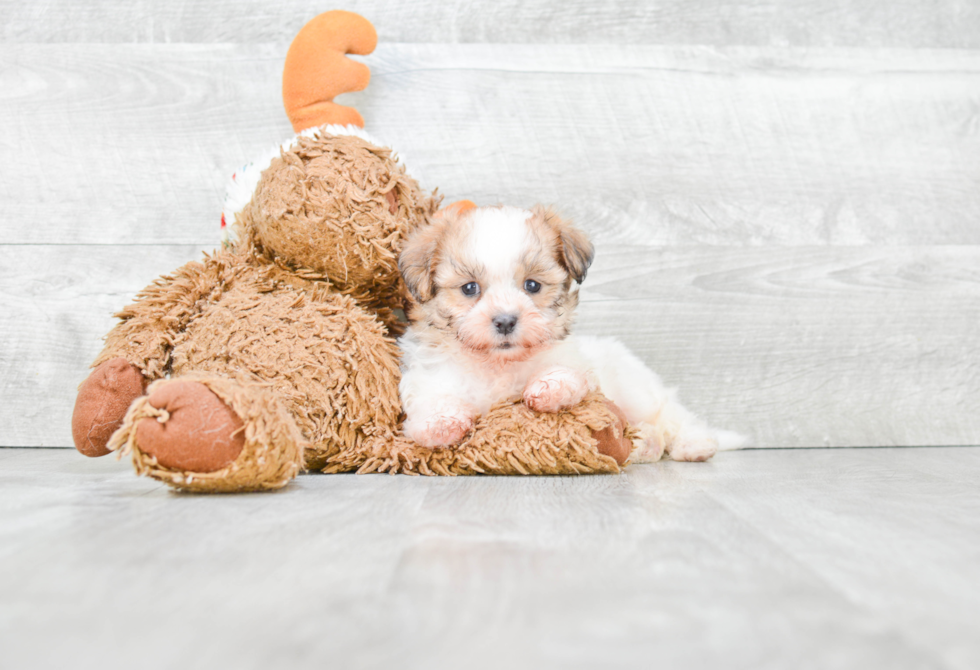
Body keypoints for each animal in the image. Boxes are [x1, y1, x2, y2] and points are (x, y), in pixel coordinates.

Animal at [394, 205, 740, 464]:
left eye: (532, 285)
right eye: (469, 288)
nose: (505, 321)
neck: (498, 365)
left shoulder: (574, 360)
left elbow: (566, 371)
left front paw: (550, 388)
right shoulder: (431, 374)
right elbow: (431, 396)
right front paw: (440, 423)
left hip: (635, 388)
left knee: (670, 411)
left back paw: (694, 443)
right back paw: (645, 445)